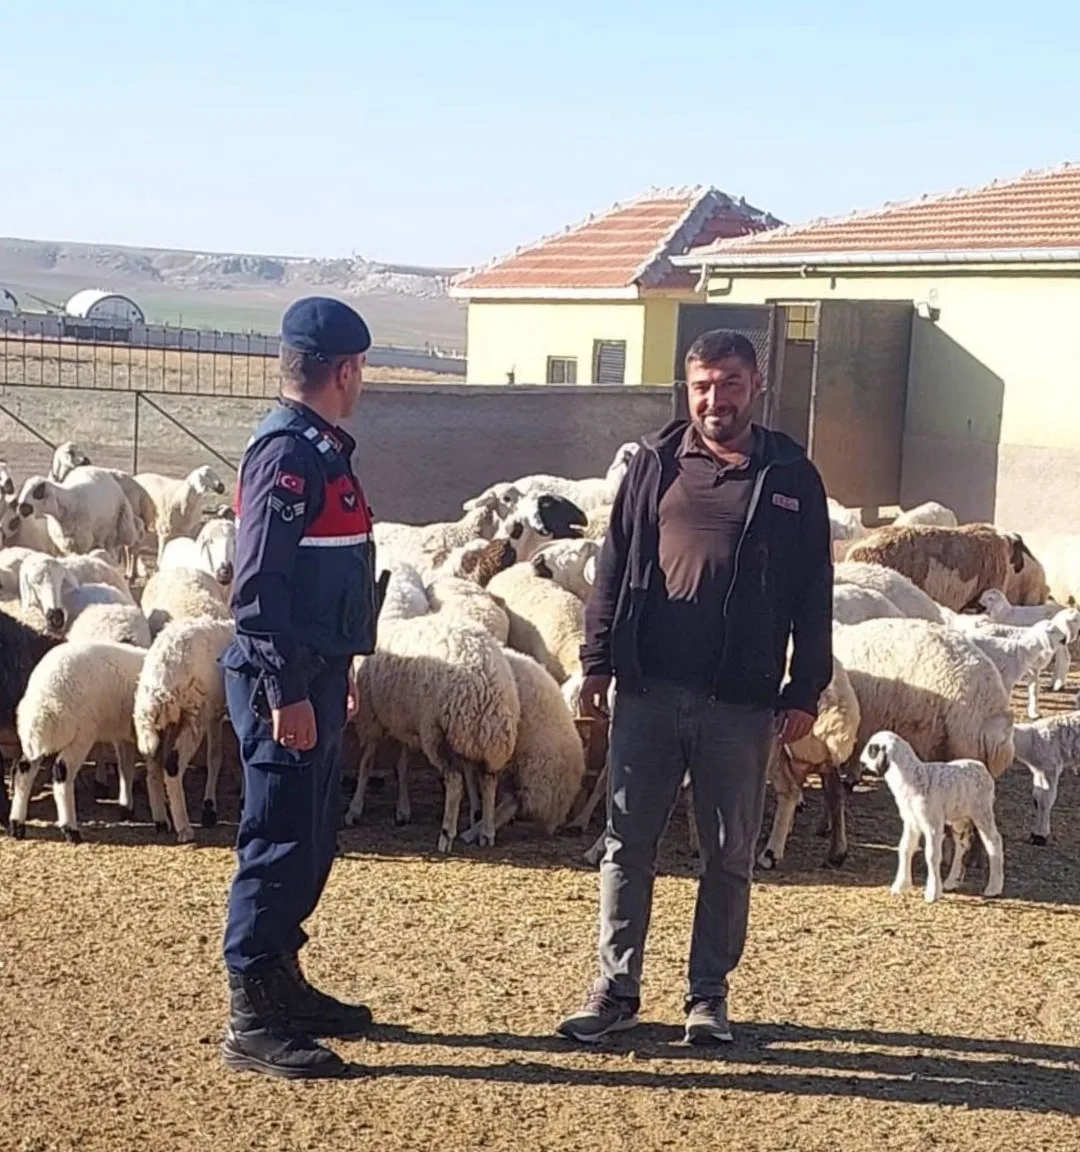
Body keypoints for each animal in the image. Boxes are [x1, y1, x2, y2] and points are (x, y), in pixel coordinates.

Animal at [9, 645, 158, 843]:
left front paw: (126, 807)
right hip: (81, 734)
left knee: (24, 770)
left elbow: (126, 769)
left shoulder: (123, 736)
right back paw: (70, 830)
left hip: (37, 735)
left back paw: (17, 825)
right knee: (61, 772)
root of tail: (45, 691)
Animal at [132, 617, 233, 843]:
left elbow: (215, 757)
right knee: (171, 767)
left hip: (160, 725)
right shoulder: (212, 713)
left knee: (153, 768)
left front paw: (209, 808)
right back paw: (184, 828)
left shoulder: (214, 712)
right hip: (192, 717)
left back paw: (161, 821)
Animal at [856, 732, 1004, 903]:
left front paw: (932, 893)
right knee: (962, 845)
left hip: (982, 812)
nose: (861, 762)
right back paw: (951, 882)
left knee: (994, 842)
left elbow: (932, 855)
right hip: (959, 818)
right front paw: (900, 886)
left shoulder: (933, 824)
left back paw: (993, 888)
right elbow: (905, 848)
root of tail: (982, 768)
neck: (913, 778)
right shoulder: (910, 821)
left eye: (872, 748)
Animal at [1008, 714, 1077, 852]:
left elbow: (1045, 801)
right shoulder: (1039, 770)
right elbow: (1037, 798)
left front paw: (1040, 836)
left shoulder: (1050, 766)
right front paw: (1035, 834)